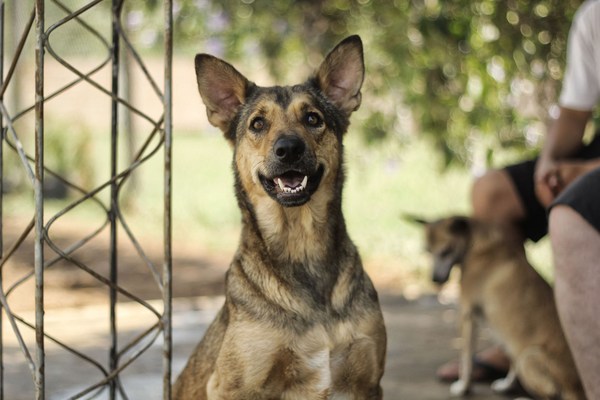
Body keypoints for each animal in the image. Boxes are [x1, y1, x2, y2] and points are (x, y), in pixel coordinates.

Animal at [173, 36, 390, 398]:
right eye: (258, 124)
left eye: (313, 118)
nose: (288, 149)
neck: (300, 244)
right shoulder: (232, 386)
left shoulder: (368, 383)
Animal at [420, 216, 584, 400]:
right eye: (427, 251)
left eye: (446, 251)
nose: (434, 280)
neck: (475, 242)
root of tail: (577, 388)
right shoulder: (511, 335)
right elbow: (510, 360)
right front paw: (506, 385)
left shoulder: (467, 315)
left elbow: (466, 358)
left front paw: (463, 387)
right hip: (524, 355)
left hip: (529, 357)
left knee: (550, 393)